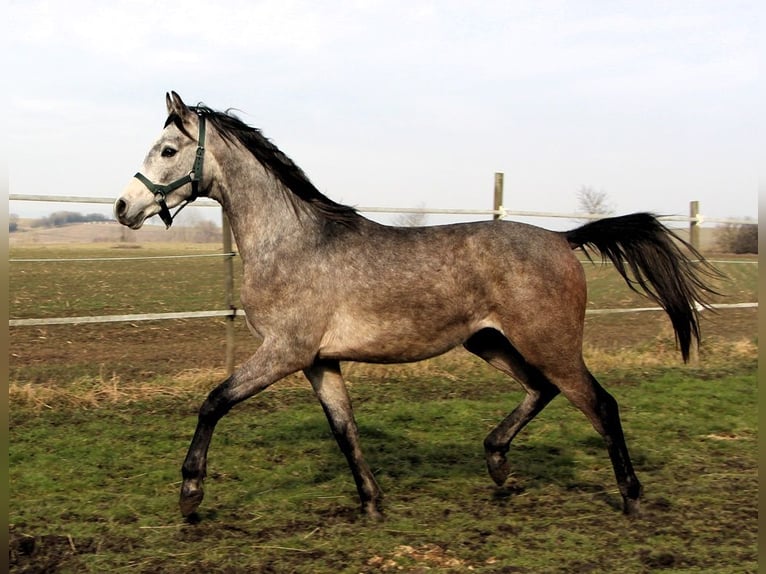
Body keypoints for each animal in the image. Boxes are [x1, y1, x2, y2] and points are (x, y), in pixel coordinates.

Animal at [114, 91, 720, 520]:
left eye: (167, 151)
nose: (124, 206)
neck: (295, 242)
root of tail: (562, 239)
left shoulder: (285, 351)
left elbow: (213, 402)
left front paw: (190, 493)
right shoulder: (318, 361)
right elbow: (345, 429)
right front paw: (372, 503)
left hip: (550, 343)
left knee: (601, 405)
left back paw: (632, 498)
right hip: (491, 341)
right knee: (541, 390)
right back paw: (497, 463)